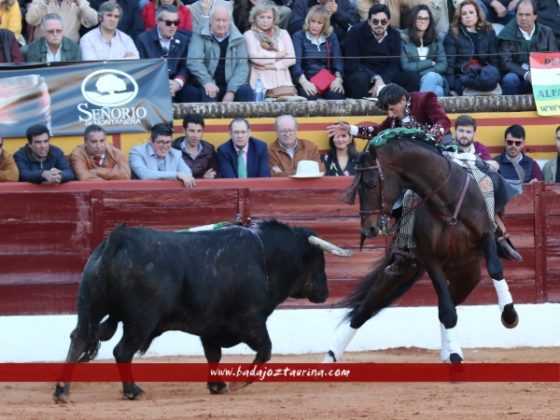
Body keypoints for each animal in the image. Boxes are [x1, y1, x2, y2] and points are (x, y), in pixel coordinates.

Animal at [53, 220, 332, 400]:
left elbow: (213, 356)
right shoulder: (251, 320)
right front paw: (238, 382)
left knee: (78, 339)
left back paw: (62, 391)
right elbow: (265, 350)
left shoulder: (210, 327)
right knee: (122, 351)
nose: (325, 292)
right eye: (318, 260)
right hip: (141, 320)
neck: (265, 257)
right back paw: (133, 390)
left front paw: (217, 386)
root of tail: (119, 239)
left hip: (89, 307)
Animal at [324, 130, 520, 362]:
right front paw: (455, 355)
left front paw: (509, 315)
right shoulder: (431, 260)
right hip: (400, 272)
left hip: (467, 276)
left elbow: (495, 269)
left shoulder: (486, 236)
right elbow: (447, 312)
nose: (368, 230)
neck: (446, 199)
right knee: (362, 312)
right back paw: (330, 357)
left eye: (371, 184)